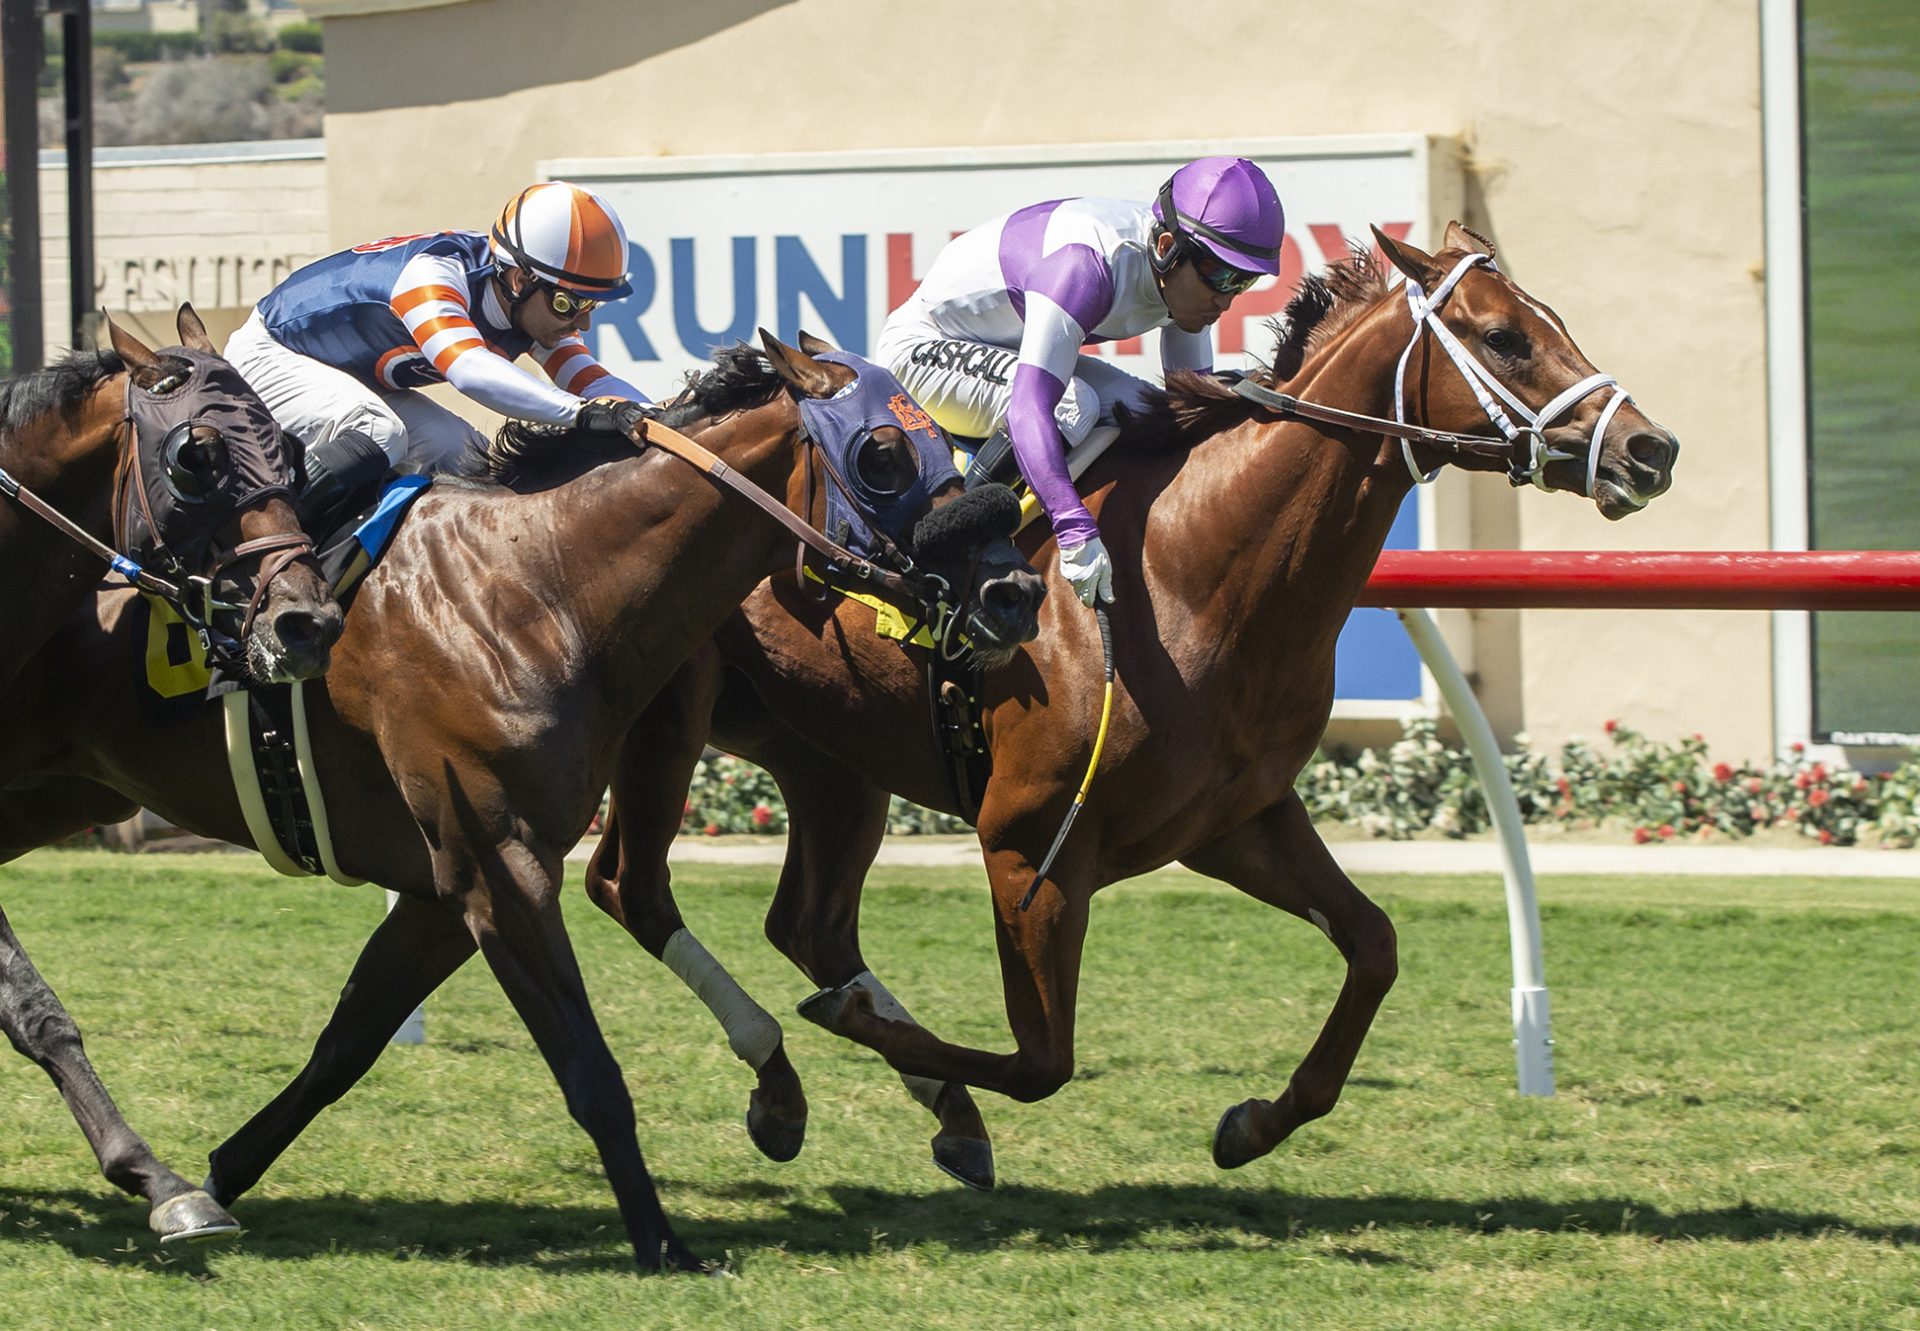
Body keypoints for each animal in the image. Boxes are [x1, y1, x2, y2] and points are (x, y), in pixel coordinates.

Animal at [576, 222, 1674, 1190]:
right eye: (1503, 337)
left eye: (1553, 319)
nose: (1651, 447)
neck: (1198, 573)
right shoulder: (1027, 843)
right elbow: (1040, 1060)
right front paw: (851, 1026)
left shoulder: (1234, 819)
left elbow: (1374, 946)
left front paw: (1254, 1122)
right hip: (667, 719)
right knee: (630, 884)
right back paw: (785, 1079)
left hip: (831, 760)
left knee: (809, 924)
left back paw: (918, 1102)